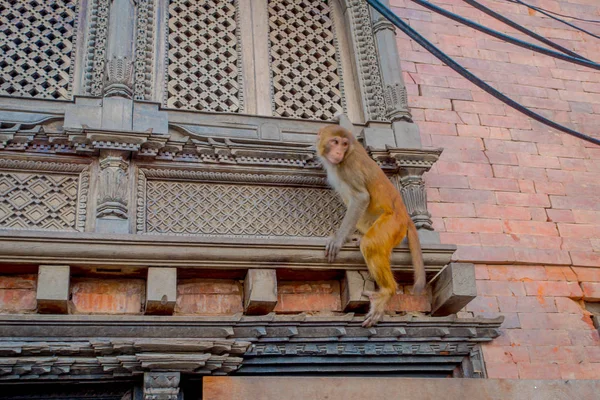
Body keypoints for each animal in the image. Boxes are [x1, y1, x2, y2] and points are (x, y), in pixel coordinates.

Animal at [314, 125, 426, 328]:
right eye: (335, 142)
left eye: (344, 144)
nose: (338, 152)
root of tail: (406, 217)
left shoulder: (348, 167)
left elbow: (361, 198)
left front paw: (339, 239)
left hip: (392, 223)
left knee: (371, 244)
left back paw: (387, 291)